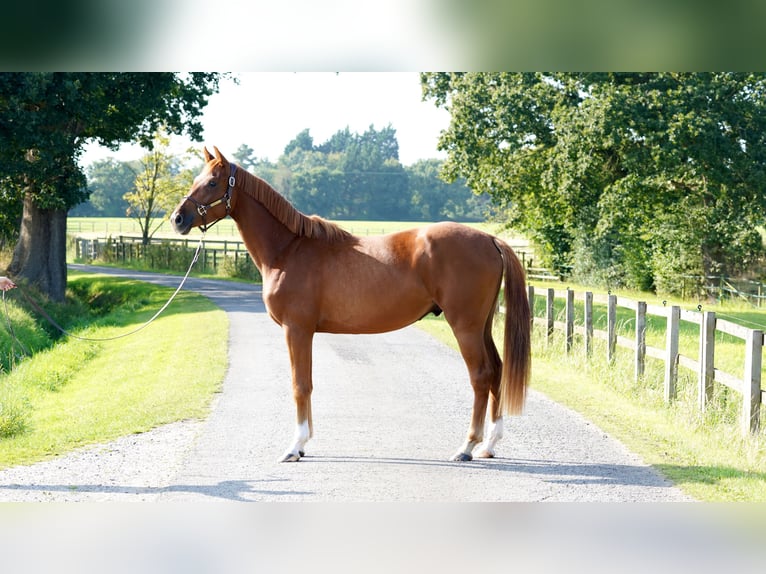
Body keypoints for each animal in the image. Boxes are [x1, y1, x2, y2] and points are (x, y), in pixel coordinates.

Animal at [171, 148, 532, 464]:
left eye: (212, 183)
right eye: (197, 179)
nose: (178, 219)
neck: (289, 250)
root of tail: (490, 239)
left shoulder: (296, 329)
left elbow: (299, 385)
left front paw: (295, 447)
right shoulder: (304, 332)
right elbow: (307, 383)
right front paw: (304, 443)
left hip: (465, 326)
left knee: (481, 376)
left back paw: (467, 447)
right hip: (482, 325)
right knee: (496, 370)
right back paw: (489, 445)